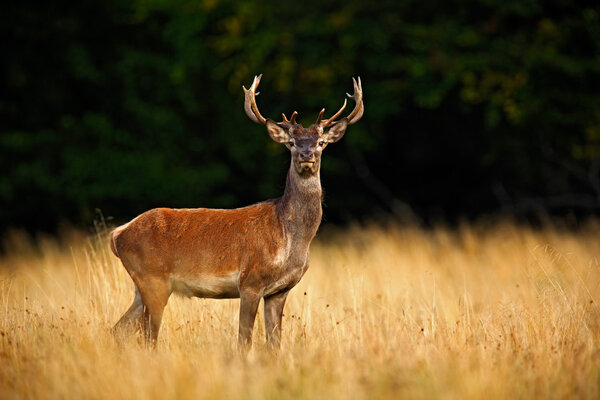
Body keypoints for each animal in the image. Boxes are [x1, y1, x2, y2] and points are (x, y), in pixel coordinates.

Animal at [111, 74, 366, 350]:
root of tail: (118, 234)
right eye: (291, 143)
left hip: (142, 285)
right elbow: (244, 340)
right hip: (153, 279)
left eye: (321, 142)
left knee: (118, 328)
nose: (306, 155)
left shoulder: (279, 291)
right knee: (148, 336)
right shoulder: (250, 281)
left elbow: (274, 344)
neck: (290, 239)